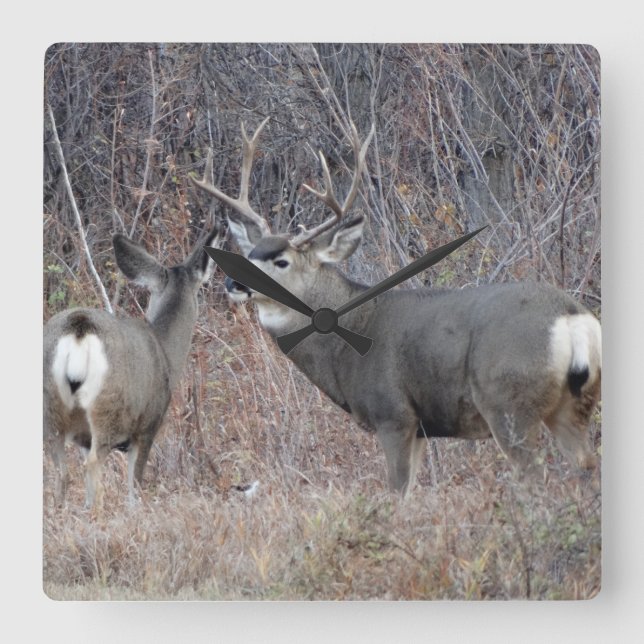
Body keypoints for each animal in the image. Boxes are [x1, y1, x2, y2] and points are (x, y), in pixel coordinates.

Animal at [43, 227, 218, 507]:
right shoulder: (148, 425)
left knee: (62, 473)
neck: (165, 352)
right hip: (108, 408)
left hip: (49, 407)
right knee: (92, 465)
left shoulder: (84, 437)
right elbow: (134, 486)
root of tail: (79, 328)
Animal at [191, 118, 601, 495]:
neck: (344, 342)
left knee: (537, 477)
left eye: (281, 261)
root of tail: (572, 320)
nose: (232, 283)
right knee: (587, 465)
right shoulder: (419, 428)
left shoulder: (394, 414)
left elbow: (398, 492)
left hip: (508, 403)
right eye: (249, 254)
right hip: (573, 404)